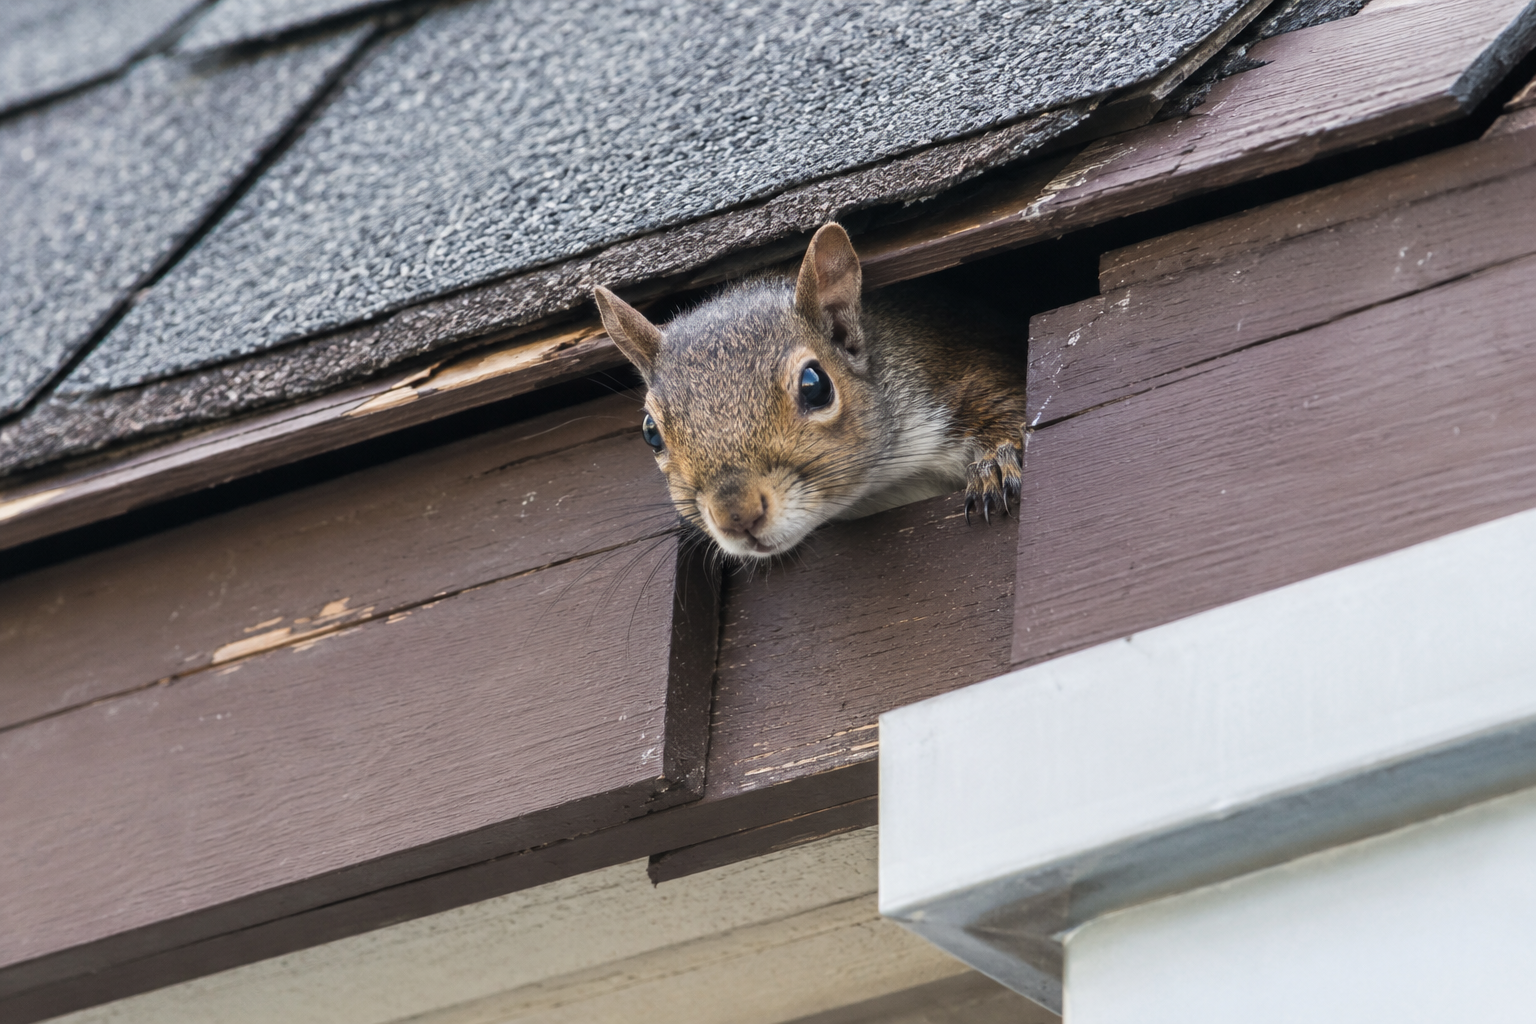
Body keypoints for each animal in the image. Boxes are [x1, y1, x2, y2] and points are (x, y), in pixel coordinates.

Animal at [593, 222, 1029, 560]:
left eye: (815, 386)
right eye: (651, 433)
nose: (737, 514)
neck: (883, 486)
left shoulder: (954, 369)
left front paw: (994, 464)